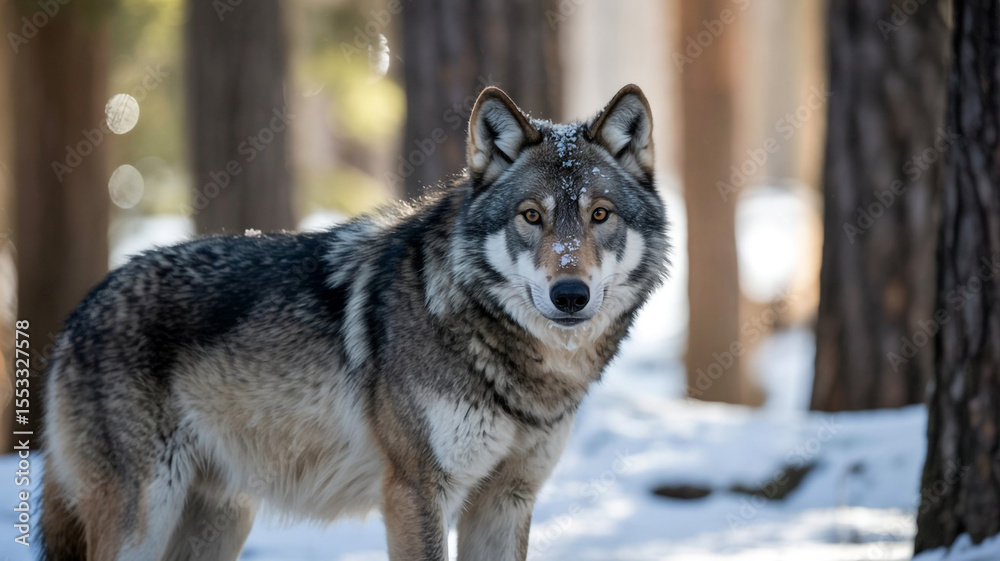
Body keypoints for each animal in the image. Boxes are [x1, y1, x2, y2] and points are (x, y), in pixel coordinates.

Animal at [39, 84, 668, 561]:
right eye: (531, 216)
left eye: (600, 215)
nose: (570, 294)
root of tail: (77, 313)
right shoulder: (416, 492)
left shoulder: (506, 500)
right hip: (146, 519)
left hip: (221, 520)